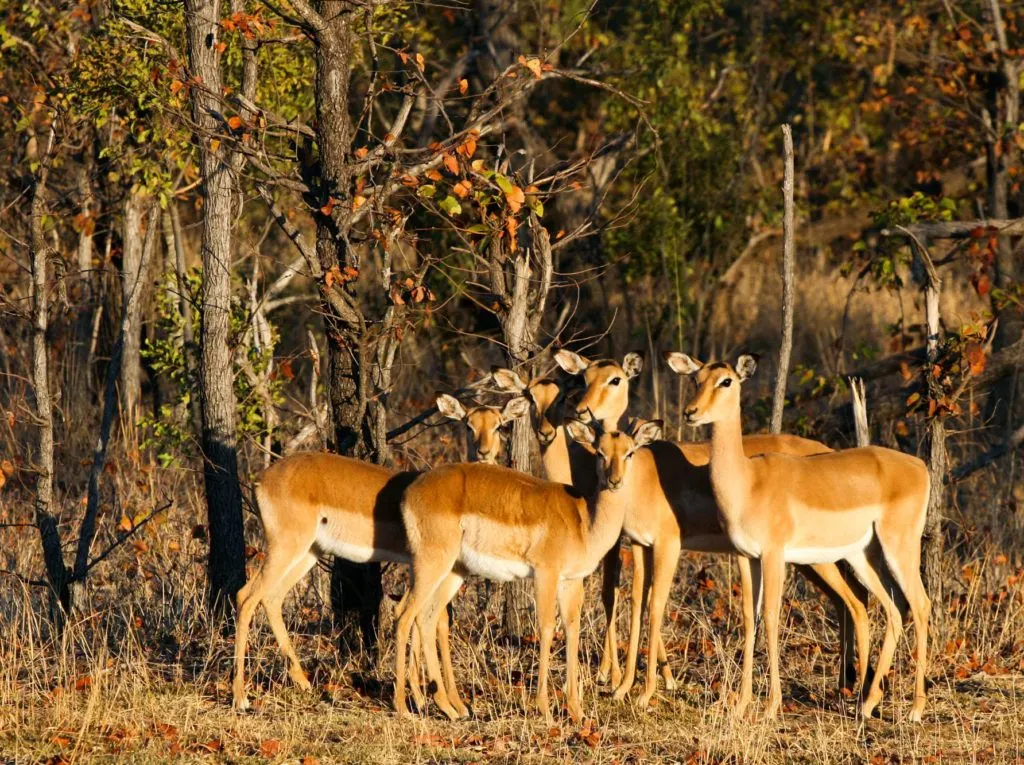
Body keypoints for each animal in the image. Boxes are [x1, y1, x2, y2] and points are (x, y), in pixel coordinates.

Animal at [394, 419, 665, 723]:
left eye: (629, 452)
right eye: (599, 452)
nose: (614, 481)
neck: (584, 522)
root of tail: (410, 492)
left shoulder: (571, 580)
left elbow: (571, 629)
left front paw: (577, 711)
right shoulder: (546, 574)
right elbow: (546, 628)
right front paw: (545, 709)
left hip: (452, 570)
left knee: (426, 618)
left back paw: (450, 708)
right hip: (432, 563)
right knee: (404, 615)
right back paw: (404, 708)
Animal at [557, 349, 870, 711]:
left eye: (615, 379)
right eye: (584, 377)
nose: (583, 409)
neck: (643, 474)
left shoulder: (669, 544)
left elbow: (656, 604)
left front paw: (649, 690)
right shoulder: (640, 545)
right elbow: (636, 603)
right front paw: (624, 687)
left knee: (856, 601)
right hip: (810, 560)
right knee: (846, 601)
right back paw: (845, 685)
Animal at [667, 352, 930, 721]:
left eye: (726, 381)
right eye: (696, 378)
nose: (692, 412)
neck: (748, 482)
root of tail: (920, 466)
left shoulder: (774, 554)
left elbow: (771, 618)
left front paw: (770, 706)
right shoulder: (747, 558)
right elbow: (749, 619)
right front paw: (741, 704)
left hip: (898, 547)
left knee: (919, 605)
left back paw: (915, 709)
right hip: (861, 555)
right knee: (892, 607)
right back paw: (867, 704)